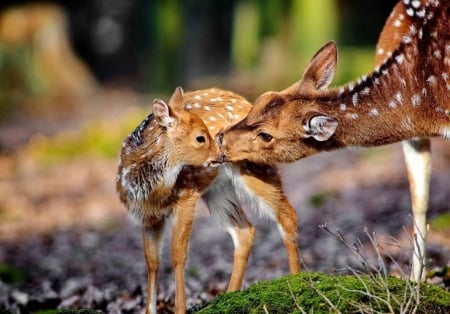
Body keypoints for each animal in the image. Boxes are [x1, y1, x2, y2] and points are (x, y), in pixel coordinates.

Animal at [116, 86, 298, 314]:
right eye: (200, 138)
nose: (221, 153)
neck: (151, 192)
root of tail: (245, 102)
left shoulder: (186, 195)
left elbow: (178, 253)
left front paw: (180, 309)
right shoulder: (146, 217)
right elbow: (151, 261)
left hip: (256, 168)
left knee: (287, 215)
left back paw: (298, 281)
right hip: (218, 191)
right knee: (245, 231)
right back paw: (230, 295)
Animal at [218, 0, 446, 280]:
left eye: (266, 135)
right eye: (260, 100)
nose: (220, 137)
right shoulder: (413, 135)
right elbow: (419, 201)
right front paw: (414, 283)